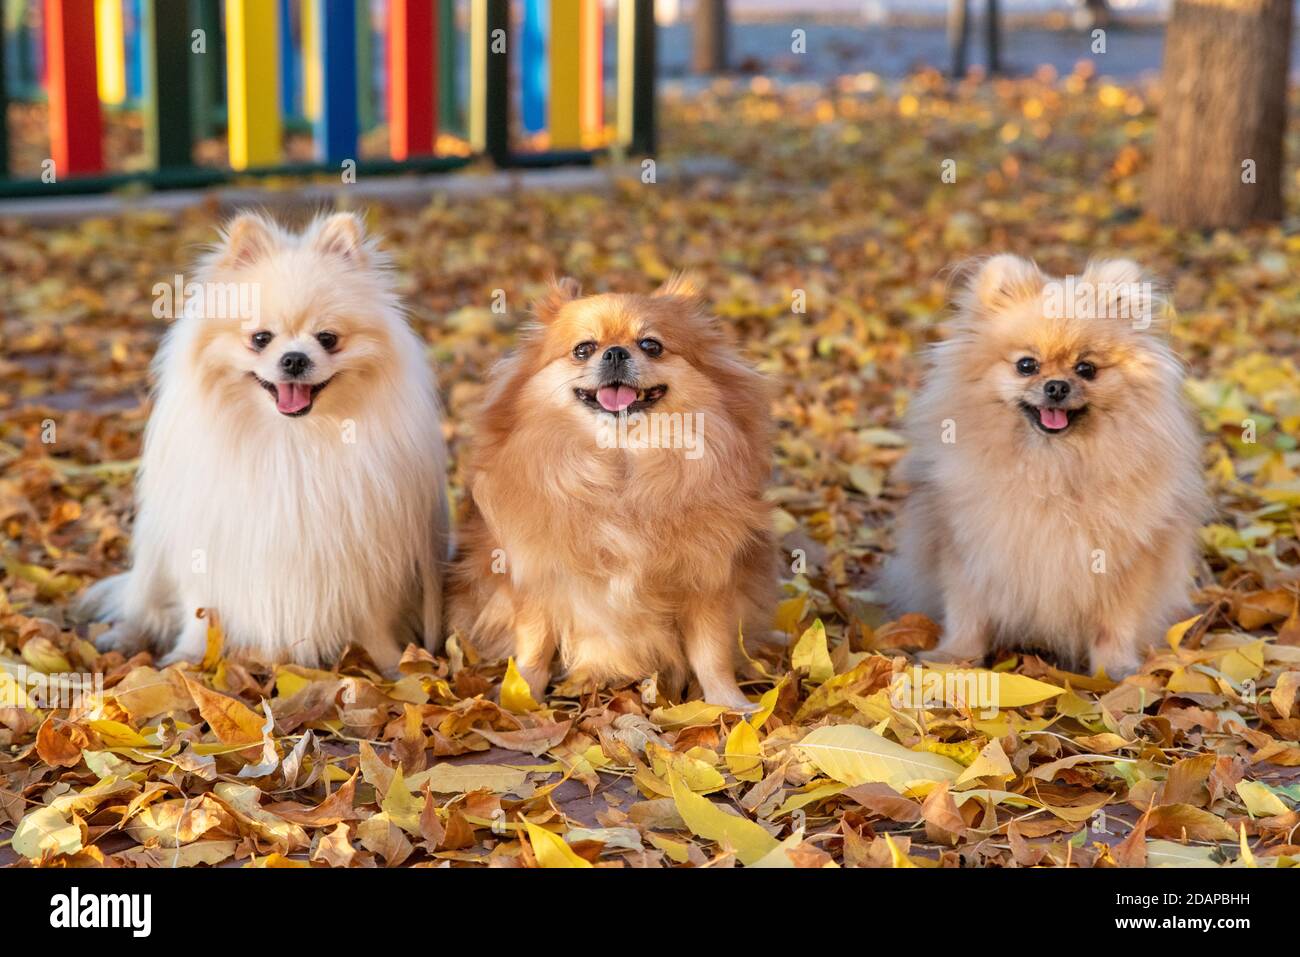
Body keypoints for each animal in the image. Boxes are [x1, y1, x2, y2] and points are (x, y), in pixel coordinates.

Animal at [81, 211, 449, 670]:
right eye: (260, 338)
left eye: (328, 339)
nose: (294, 359)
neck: (291, 440)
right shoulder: (210, 548)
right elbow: (201, 612)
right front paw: (188, 660)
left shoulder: (366, 558)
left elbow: (372, 623)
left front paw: (393, 667)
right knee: (143, 604)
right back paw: (123, 637)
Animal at [449, 276, 769, 712]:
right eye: (583, 349)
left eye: (651, 345)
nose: (615, 352)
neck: (620, 463)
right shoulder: (535, 578)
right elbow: (534, 644)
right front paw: (522, 697)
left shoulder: (708, 581)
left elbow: (711, 652)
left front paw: (730, 703)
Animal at [883, 250, 1206, 676]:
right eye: (1026, 365)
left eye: (1086, 369)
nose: (1056, 386)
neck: (1052, 467)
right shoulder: (970, 549)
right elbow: (967, 611)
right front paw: (956, 658)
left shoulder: (1125, 562)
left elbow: (1114, 623)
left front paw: (1115, 671)